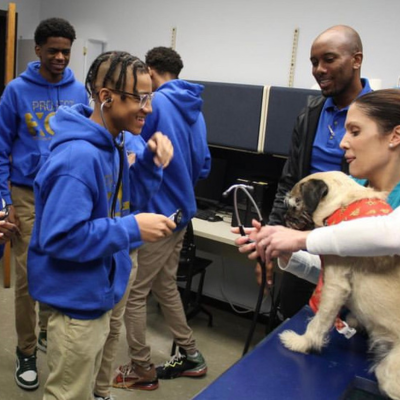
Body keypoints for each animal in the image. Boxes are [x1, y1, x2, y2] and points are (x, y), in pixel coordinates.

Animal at [280, 170, 400, 400]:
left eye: (295, 204)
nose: (285, 217)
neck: (342, 205)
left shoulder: (335, 285)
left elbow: (318, 322)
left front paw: (302, 343)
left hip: (389, 373)